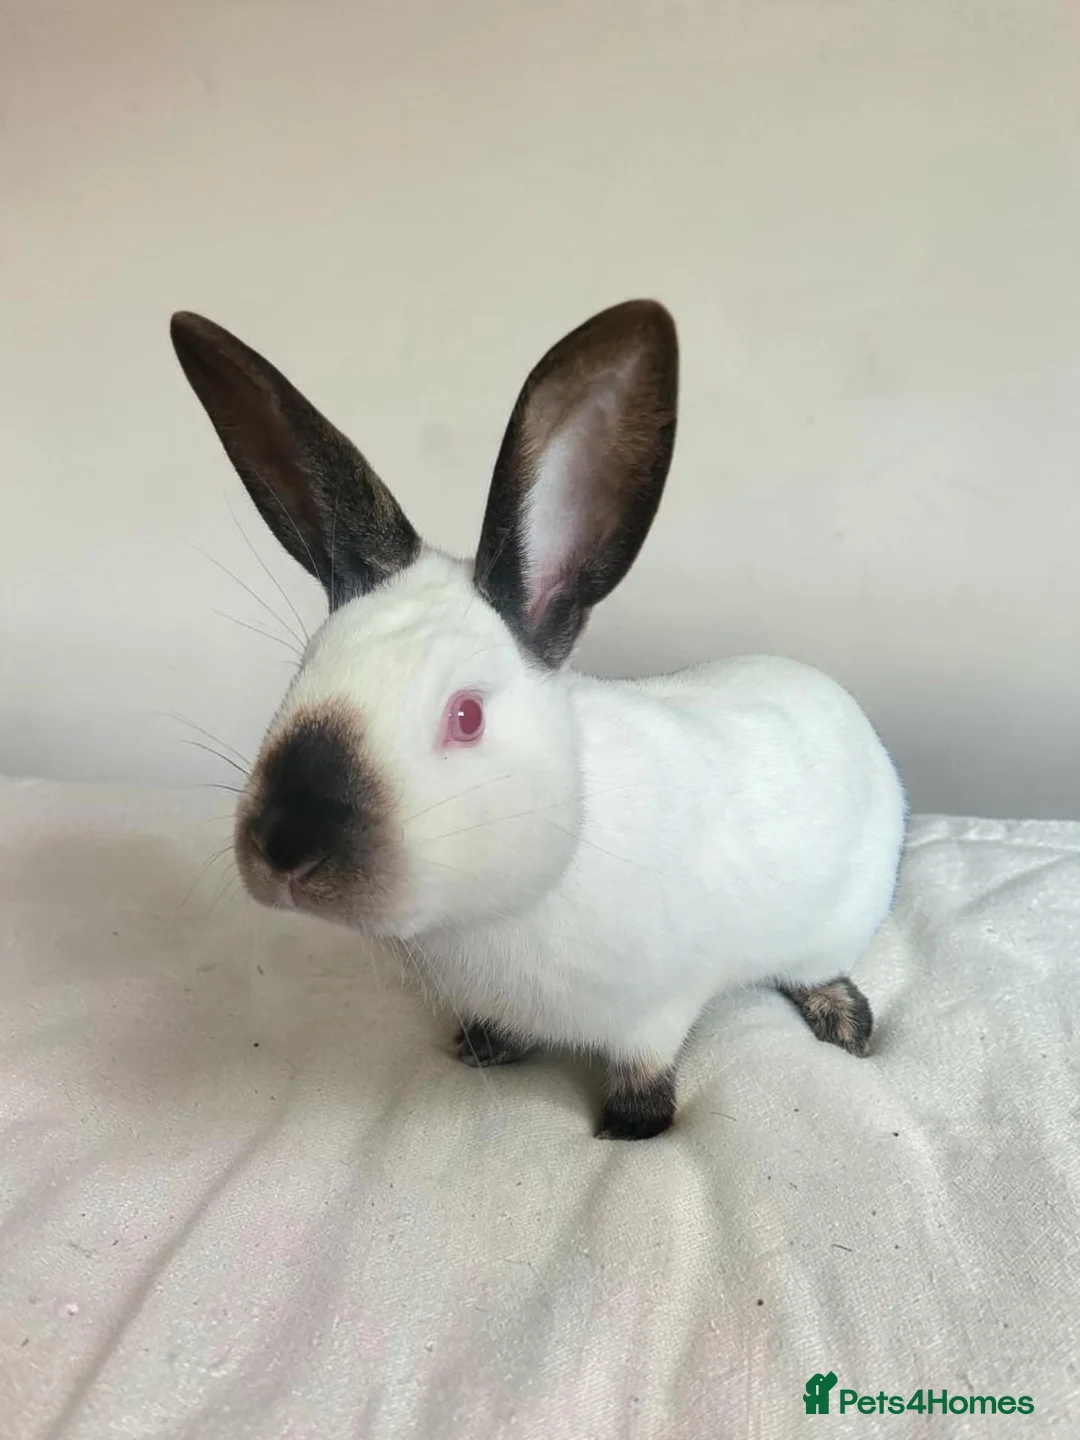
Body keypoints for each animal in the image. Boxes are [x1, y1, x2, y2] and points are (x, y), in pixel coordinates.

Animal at [170, 299, 906, 1140]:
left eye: (466, 716)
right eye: (304, 668)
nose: (286, 848)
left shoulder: (657, 1010)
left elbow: (647, 1073)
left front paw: (629, 1125)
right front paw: (483, 1047)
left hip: (836, 921)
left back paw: (844, 1022)